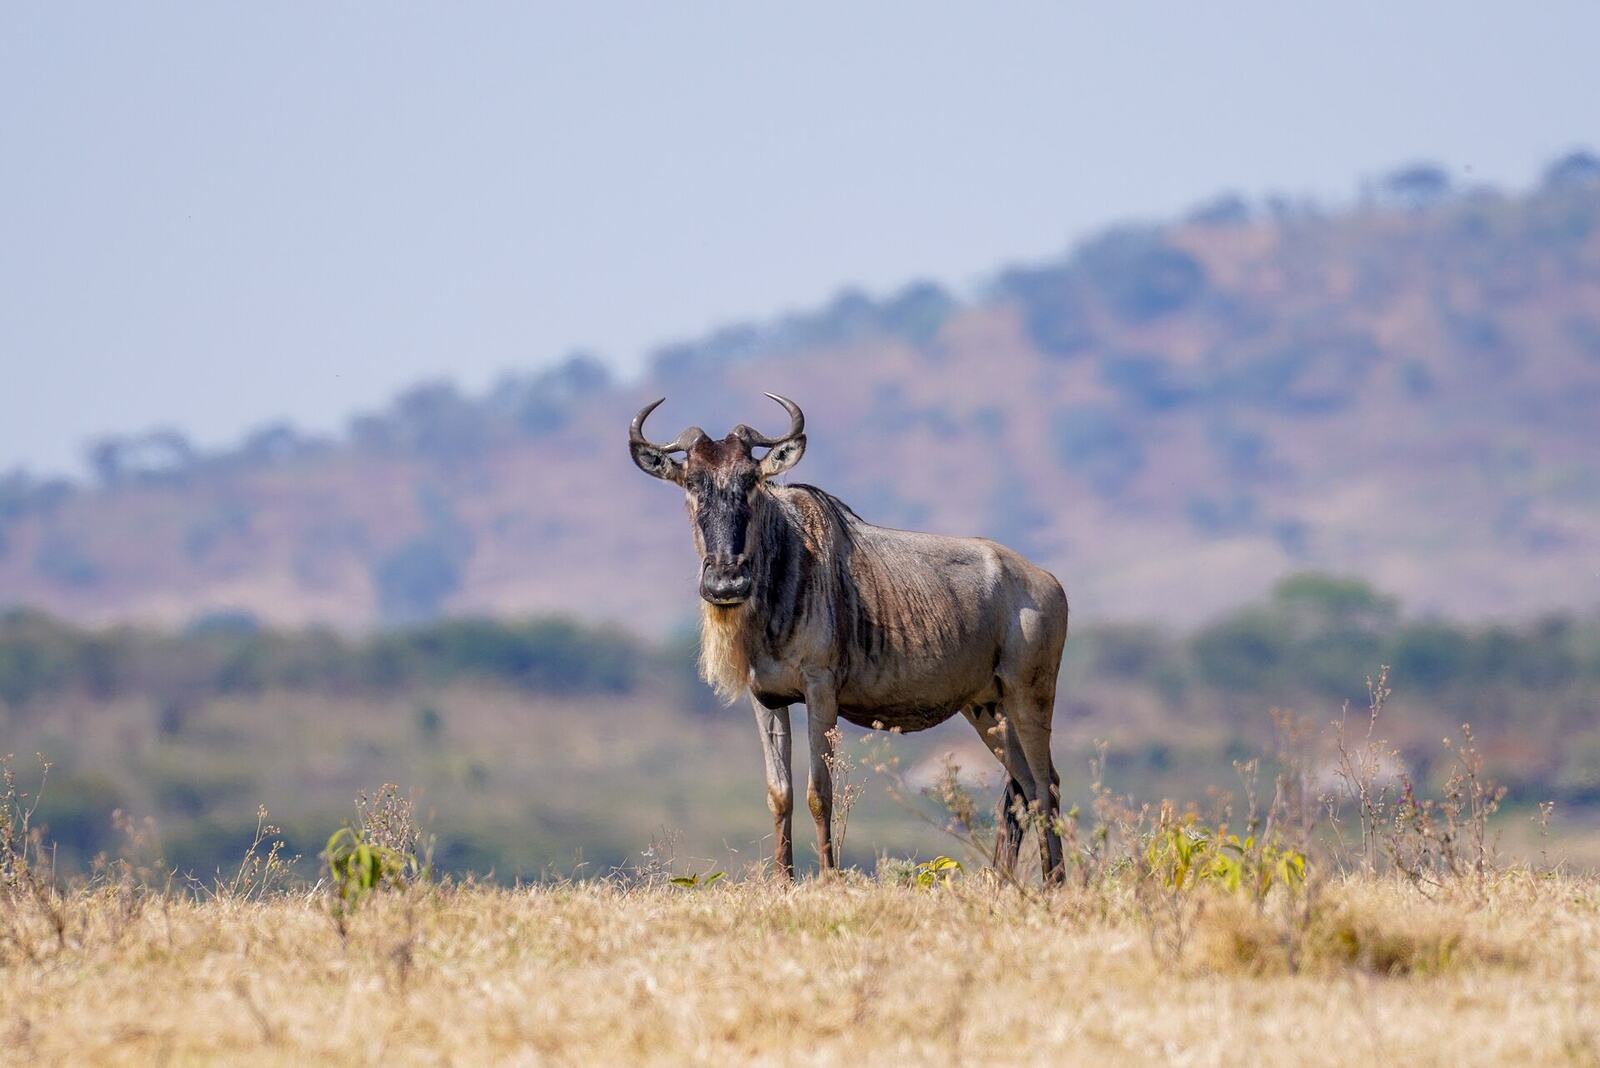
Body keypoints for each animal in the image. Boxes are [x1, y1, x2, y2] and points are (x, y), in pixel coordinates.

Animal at [628, 394, 1069, 883]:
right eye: (692, 481)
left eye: (751, 480)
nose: (727, 581)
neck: (783, 565)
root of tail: (1047, 582)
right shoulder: (766, 699)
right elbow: (779, 793)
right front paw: (783, 882)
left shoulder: (821, 691)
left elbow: (819, 791)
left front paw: (828, 878)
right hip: (987, 708)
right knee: (1024, 788)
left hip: (1029, 696)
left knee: (1045, 785)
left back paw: (1055, 883)